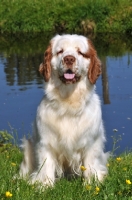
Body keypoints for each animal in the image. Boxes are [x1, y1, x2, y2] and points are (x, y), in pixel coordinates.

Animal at [19, 34, 108, 186]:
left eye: (80, 52)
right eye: (60, 51)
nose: (69, 59)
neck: (68, 103)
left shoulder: (91, 143)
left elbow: (90, 165)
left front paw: (91, 184)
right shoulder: (45, 143)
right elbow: (46, 166)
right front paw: (45, 186)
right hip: (28, 146)